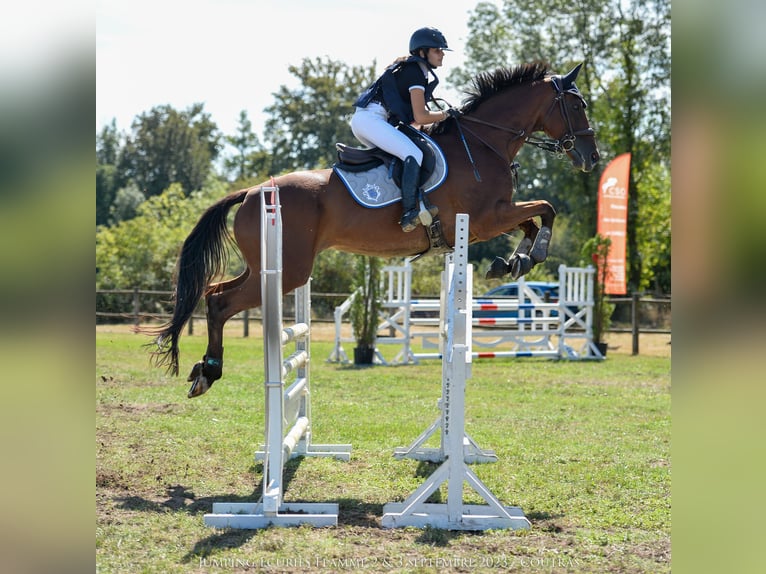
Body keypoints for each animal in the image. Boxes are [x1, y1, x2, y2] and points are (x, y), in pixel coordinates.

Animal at [148, 60, 600, 398]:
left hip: (262, 266)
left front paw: (513, 262)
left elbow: (533, 218)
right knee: (222, 303)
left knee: (213, 293)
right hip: (288, 271)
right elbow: (546, 209)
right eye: (577, 105)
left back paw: (204, 371)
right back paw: (209, 372)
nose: (591, 157)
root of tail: (252, 191)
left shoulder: (492, 217)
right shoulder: (486, 218)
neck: (482, 142)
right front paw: (529, 256)